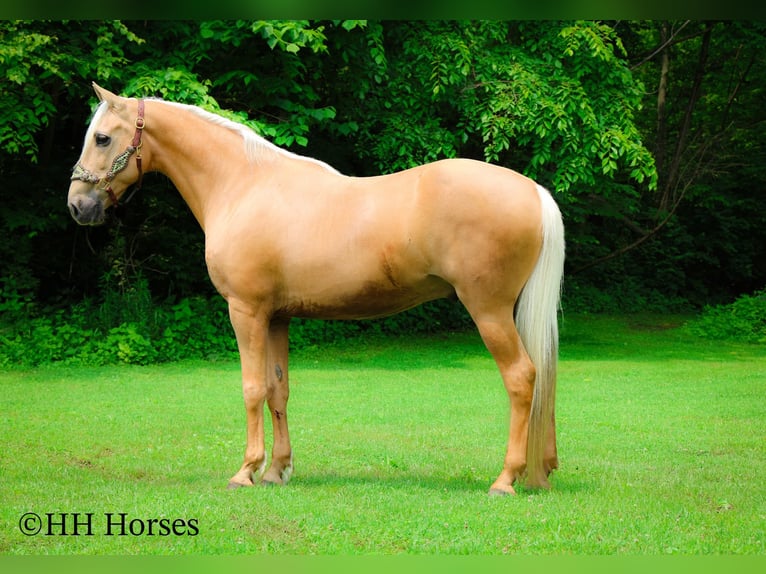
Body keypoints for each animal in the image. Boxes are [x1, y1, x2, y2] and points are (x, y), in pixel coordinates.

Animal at [67, 82, 565, 495]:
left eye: (103, 138)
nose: (77, 205)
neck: (243, 185)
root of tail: (533, 191)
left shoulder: (246, 311)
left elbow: (252, 387)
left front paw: (245, 471)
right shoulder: (277, 317)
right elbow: (277, 389)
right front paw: (276, 470)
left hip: (489, 310)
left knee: (522, 378)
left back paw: (506, 479)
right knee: (545, 377)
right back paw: (542, 471)